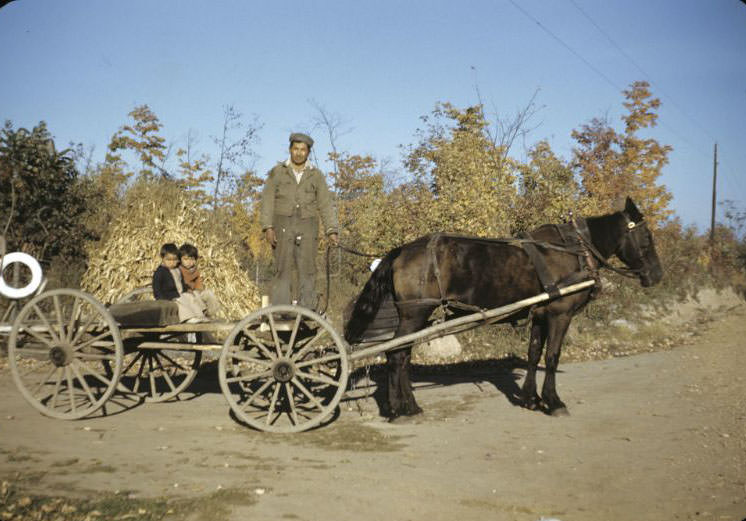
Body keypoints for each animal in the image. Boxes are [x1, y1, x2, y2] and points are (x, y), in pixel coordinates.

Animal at [342, 197, 664, 416]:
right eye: (646, 236)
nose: (657, 275)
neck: (575, 251)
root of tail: (401, 251)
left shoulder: (541, 314)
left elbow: (534, 354)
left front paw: (531, 398)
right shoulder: (560, 314)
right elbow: (552, 356)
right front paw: (554, 401)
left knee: (400, 355)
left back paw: (402, 405)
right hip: (415, 313)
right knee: (397, 355)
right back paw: (404, 408)